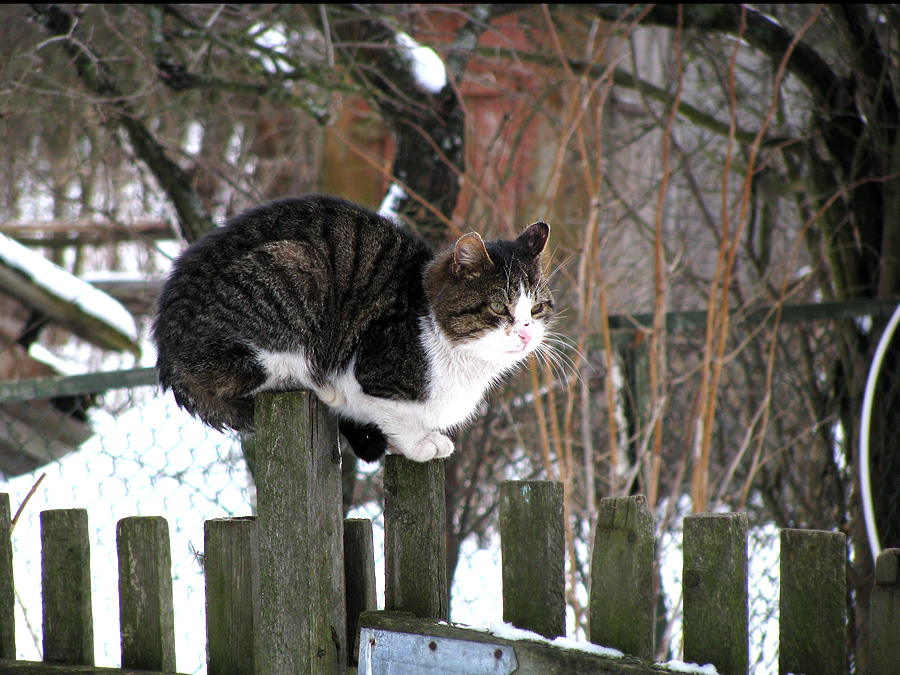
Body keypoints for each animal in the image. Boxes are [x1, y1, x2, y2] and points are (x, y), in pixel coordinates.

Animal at [151, 193, 552, 462]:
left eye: (537, 308)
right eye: (498, 307)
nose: (526, 332)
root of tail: (167, 353)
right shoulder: (373, 373)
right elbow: (393, 412)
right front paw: (419, 441)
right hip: (294, 268)